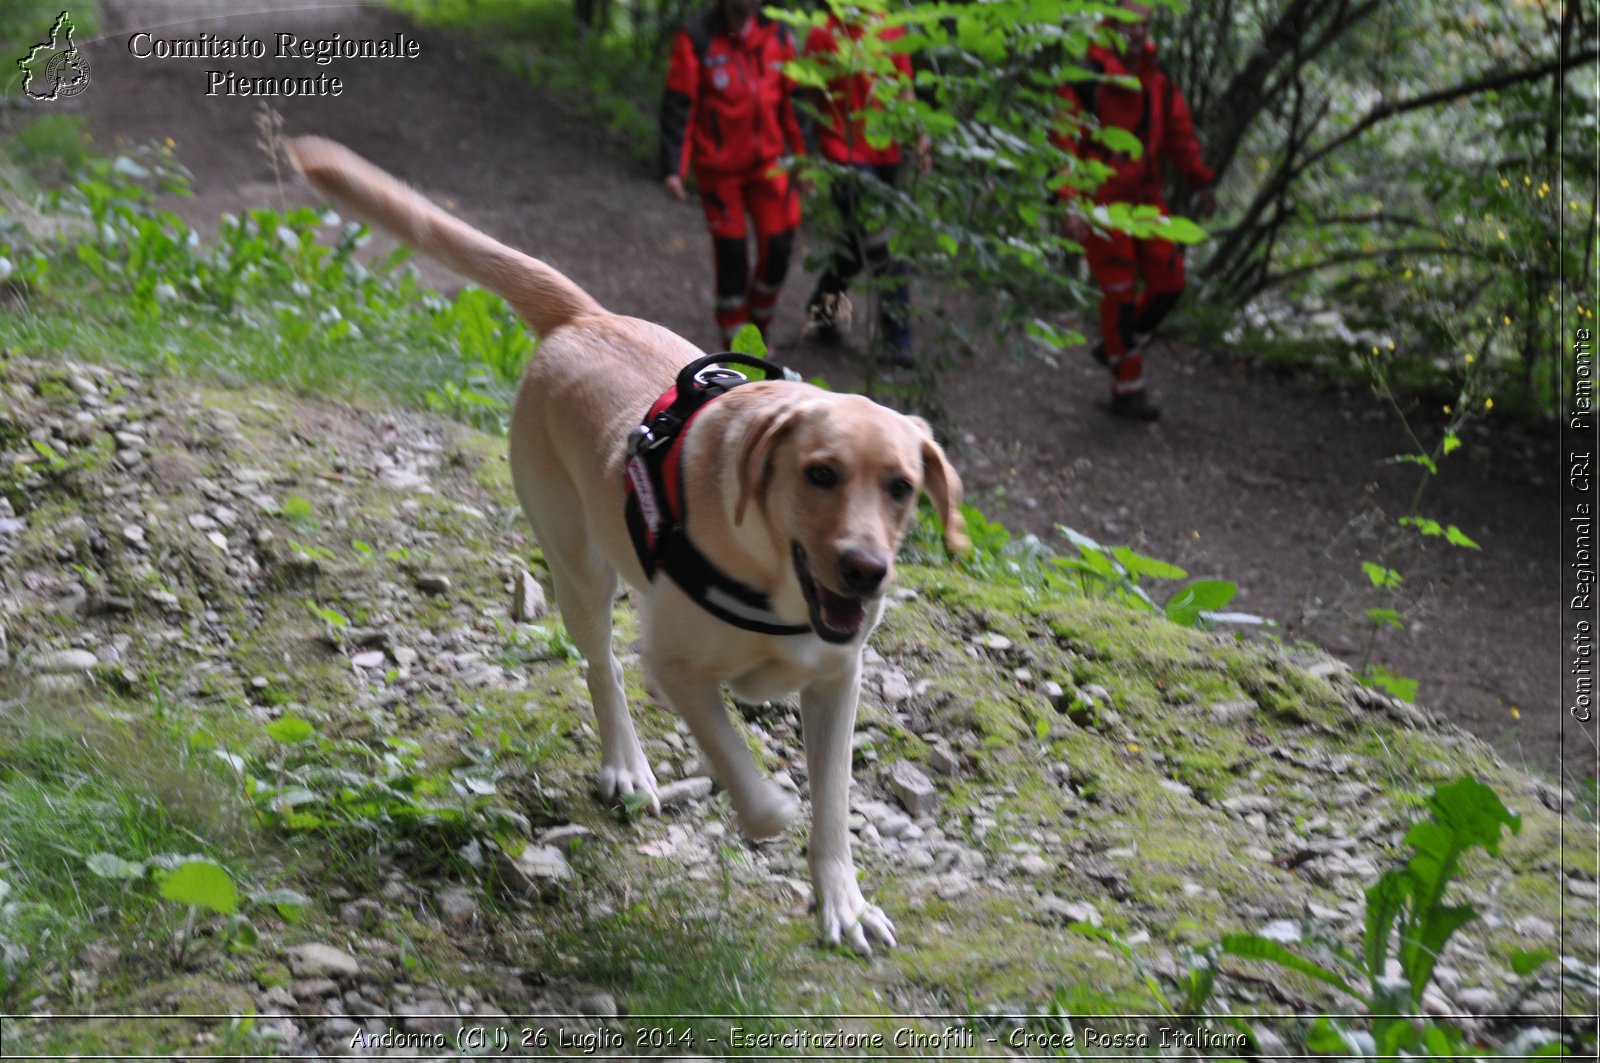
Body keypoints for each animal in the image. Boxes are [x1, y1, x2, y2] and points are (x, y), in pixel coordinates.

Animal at [286, 135, 960, 954]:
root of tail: (583, 317)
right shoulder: (675, 662)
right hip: (579, 568)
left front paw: (844, 902)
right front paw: (767, 809)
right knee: (602, 665)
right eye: (820, 473)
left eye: (900, 486)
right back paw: (628, 766)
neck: (774, 575)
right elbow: (741, 765)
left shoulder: (838, 680)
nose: (865, 570)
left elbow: (832, 802)